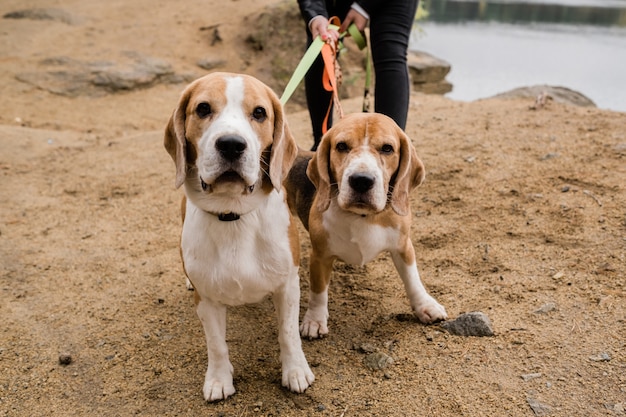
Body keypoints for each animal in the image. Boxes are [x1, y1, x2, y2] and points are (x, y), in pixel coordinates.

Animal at [165, 73, 314, 402]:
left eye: (259, 113)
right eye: (203, 108)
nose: (232, 145)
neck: (233, 215)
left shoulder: (288, 285)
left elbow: (288, 334)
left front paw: (295, 371)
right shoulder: (206, 299)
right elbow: (216, 344)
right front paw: (219, 379)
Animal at [286, 113, 446, 338]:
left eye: (387, 148)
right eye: (341, 146)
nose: (361, 180)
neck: (361, 216)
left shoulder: (403, 246)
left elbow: (413, 279)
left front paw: (426, 306)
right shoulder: (320, 256)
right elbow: (318, 292)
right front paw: (314, 320)